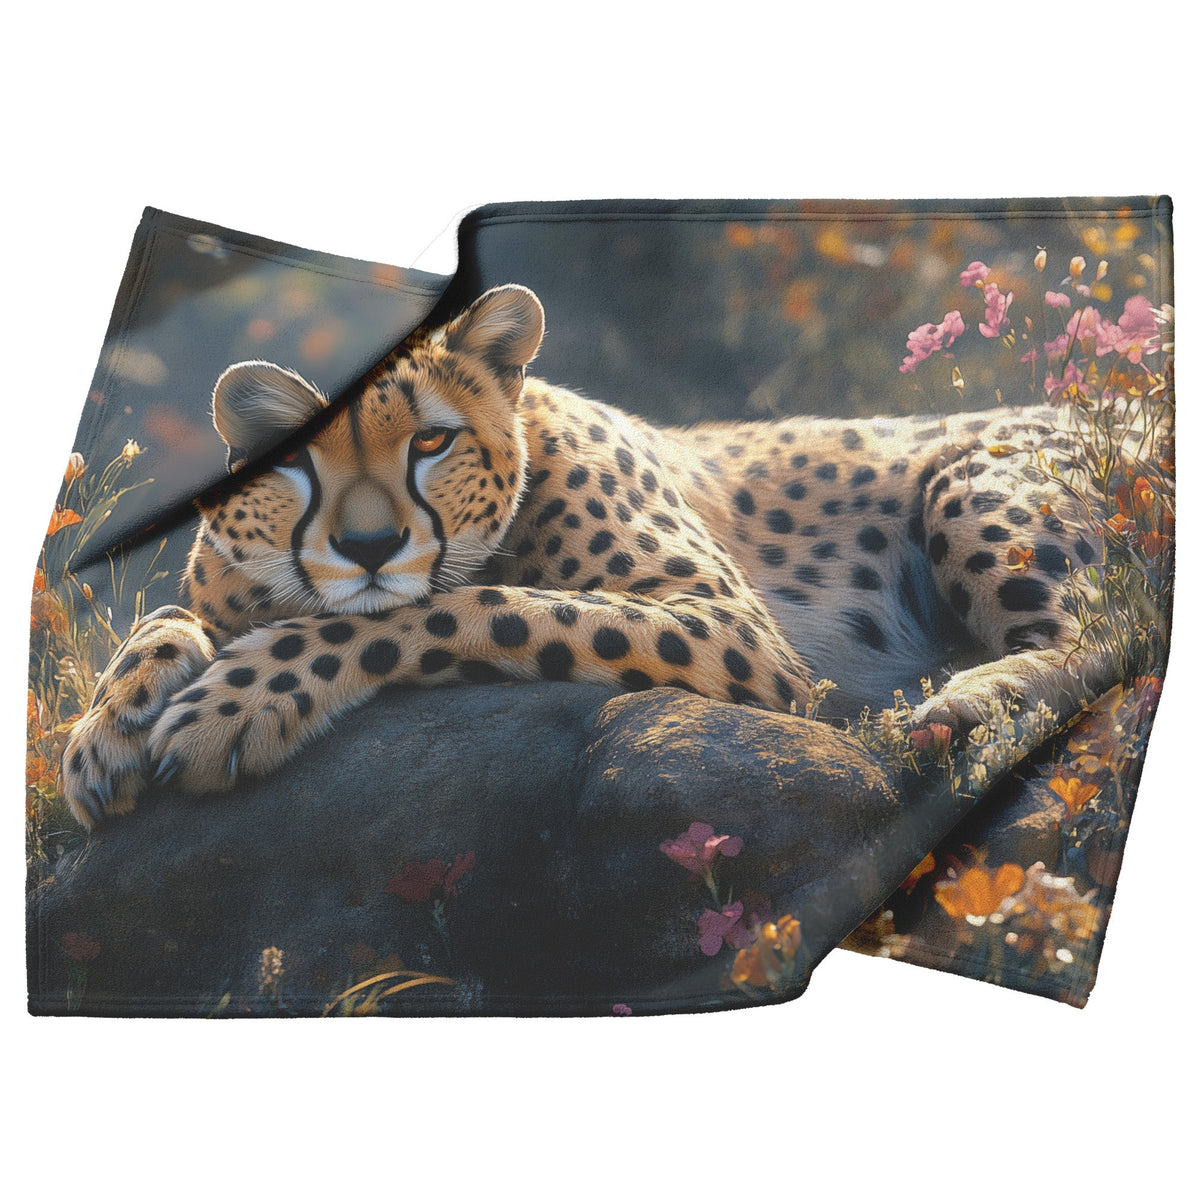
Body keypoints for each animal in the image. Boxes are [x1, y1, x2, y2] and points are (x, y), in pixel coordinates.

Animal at [60, 283, 1113, 828]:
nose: (367, 545)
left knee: (1105, 632)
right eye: (312, 468)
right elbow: (167, 615)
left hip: (972, 471)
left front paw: (236, 703)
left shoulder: (733, 627)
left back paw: (966, 698)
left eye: (432, 441)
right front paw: (104, 730)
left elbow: (460, 607)